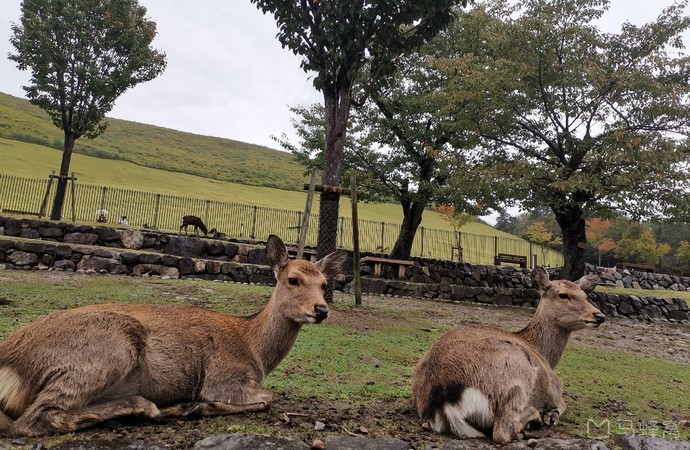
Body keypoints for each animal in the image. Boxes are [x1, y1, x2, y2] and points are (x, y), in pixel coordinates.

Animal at [0, 236, 346, 436]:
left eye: (324, 283)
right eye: (293, 279)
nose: (322, 309)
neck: (256, 351)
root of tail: (10, 362)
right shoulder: (225, 379)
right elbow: (267, 398)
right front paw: (200, 406)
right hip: (106, 351)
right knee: (30, 421)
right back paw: (150, 407)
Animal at [408, 266, 600, 444]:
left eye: (585, 295)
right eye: (563, 295)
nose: (599, 315)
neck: (545, 355)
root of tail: (442, 395)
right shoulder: (554, 389)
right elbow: (562, 404)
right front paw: (550, 415)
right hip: (517, 377)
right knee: (502, 431)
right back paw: (531, 421)